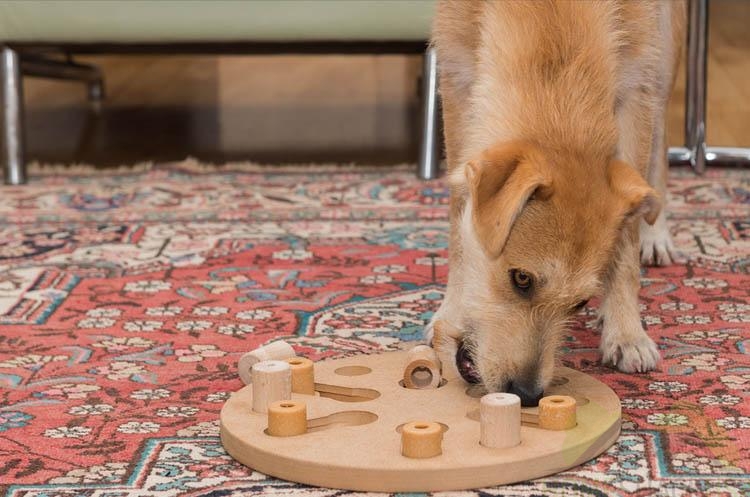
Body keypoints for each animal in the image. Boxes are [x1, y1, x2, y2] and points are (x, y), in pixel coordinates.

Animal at [428, 0, 688, 406]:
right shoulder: (457, 75)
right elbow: (458, 217)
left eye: (579, 303)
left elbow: (626, 240)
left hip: (664, 50)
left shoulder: (637, 80)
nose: (526, 394)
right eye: (521, 279)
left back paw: (656, 234)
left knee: (659, 147)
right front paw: (451, 307)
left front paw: (626, 332)